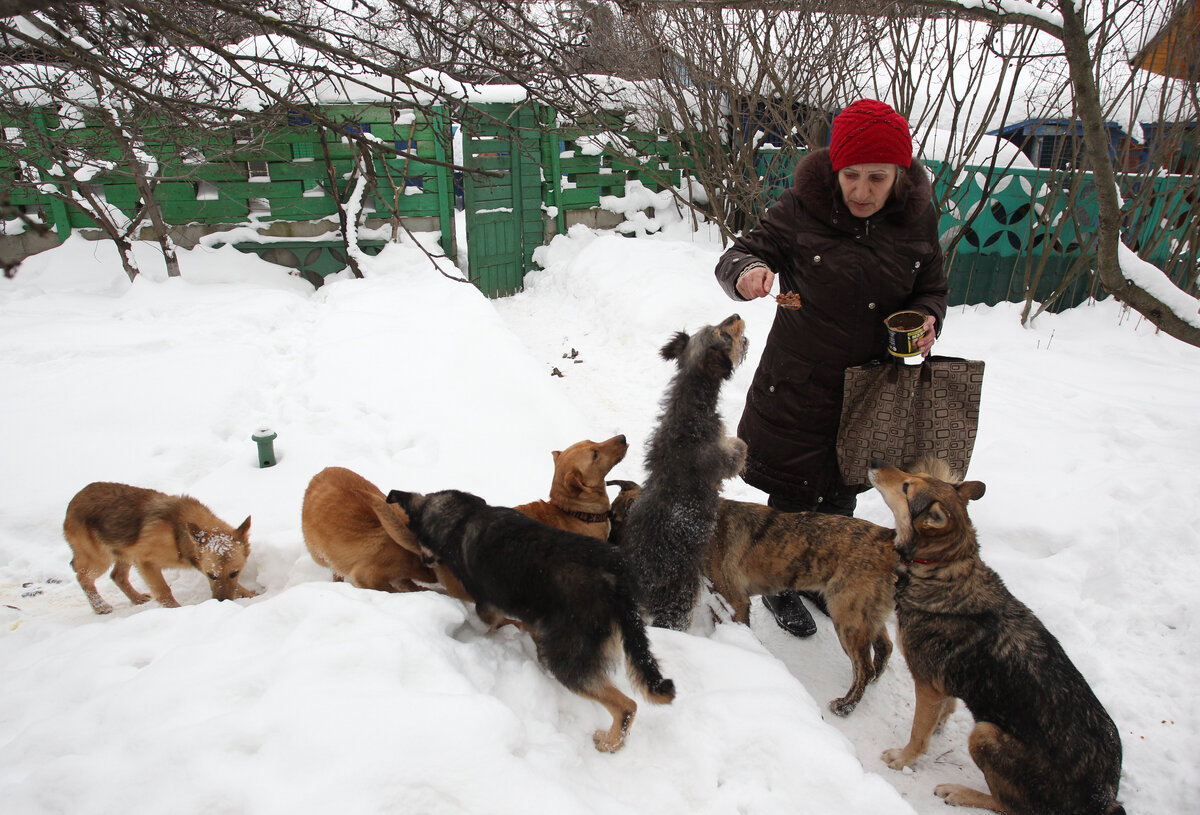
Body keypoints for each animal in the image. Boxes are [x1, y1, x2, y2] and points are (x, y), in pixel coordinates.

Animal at [65, 482, 255, 614]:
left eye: (234, 573)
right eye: (211, 575)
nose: (222, 602)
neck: (178, 533)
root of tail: (74, 500)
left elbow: (237, 586)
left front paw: (251, 595)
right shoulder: (146, 563)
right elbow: (164, 591)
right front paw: (175, 611)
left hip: (125, 553)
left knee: (117, 576)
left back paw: (136, 598)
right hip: (100, 560)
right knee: (83, 578)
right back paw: (100, 606)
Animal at [384, 487, 676, 753]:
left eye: (417, 537)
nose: (425, 561)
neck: (463, 517)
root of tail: (617, 582)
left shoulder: (486, 603)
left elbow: (487, 620)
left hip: (568, 658)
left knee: (627, 705)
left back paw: (609, 742)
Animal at [609, 482, 892, 715]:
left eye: (617, 520)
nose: (608, 547)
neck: (688, 523)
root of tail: (888, 540)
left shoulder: (735, 600)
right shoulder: (718, 596)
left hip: (848, 616)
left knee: (862, 667)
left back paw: (846, 705)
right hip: (865, 614)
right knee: (884, 647)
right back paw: (874, 680)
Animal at [614, 312, 744, 628]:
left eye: (714, 326)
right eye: (723, 334)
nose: (736, 315)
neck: (690, 409)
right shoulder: (723, 460)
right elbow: (739, 448)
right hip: (678, 603)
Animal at [868, 458, 1118, 815]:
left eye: (907, 487)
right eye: (915, 476)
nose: (875, 462)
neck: (943, 570)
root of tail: (1103, 799)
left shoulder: (927, 684)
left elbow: (918, 732)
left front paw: (904, 758)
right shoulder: (943, 686)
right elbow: (944, 710)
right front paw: (940, 723)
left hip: (984, 733)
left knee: (1009, 805)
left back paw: (958, 792)